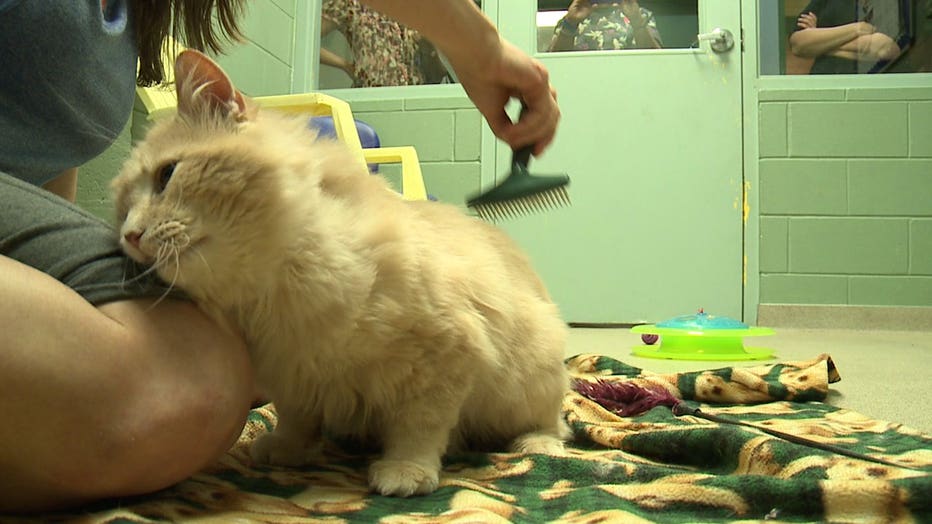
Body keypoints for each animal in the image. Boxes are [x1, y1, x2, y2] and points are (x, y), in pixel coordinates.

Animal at [114, 49, 572, 496]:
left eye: (167, 175)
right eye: (122, 208)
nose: (129, 235)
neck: (276, 291)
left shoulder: (445, 358)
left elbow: (419, 427)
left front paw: (405, 471)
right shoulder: (290, 375)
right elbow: (296, 419)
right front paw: (287, 450)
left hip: (533, 377)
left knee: (555, 422)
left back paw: (536, 444)